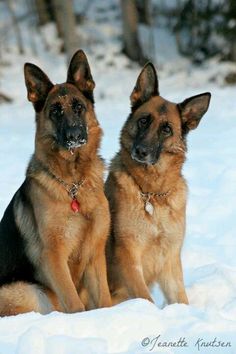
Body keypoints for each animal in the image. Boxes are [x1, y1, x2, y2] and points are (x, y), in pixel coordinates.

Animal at [0, 49, 111, 316]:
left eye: (79, 107)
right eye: (56, 111)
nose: (74, 136)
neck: (73, 184)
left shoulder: (95, 254)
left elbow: (105, 300)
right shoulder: (54, 256)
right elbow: (74, 303)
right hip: (30, 292)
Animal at [105, 62, 210, 306]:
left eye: (166, 129)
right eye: (144, 120)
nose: (141, 151)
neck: (152, 193)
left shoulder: (170, 261)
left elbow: (180, 299)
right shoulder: (128, 256)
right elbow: (146, 299)